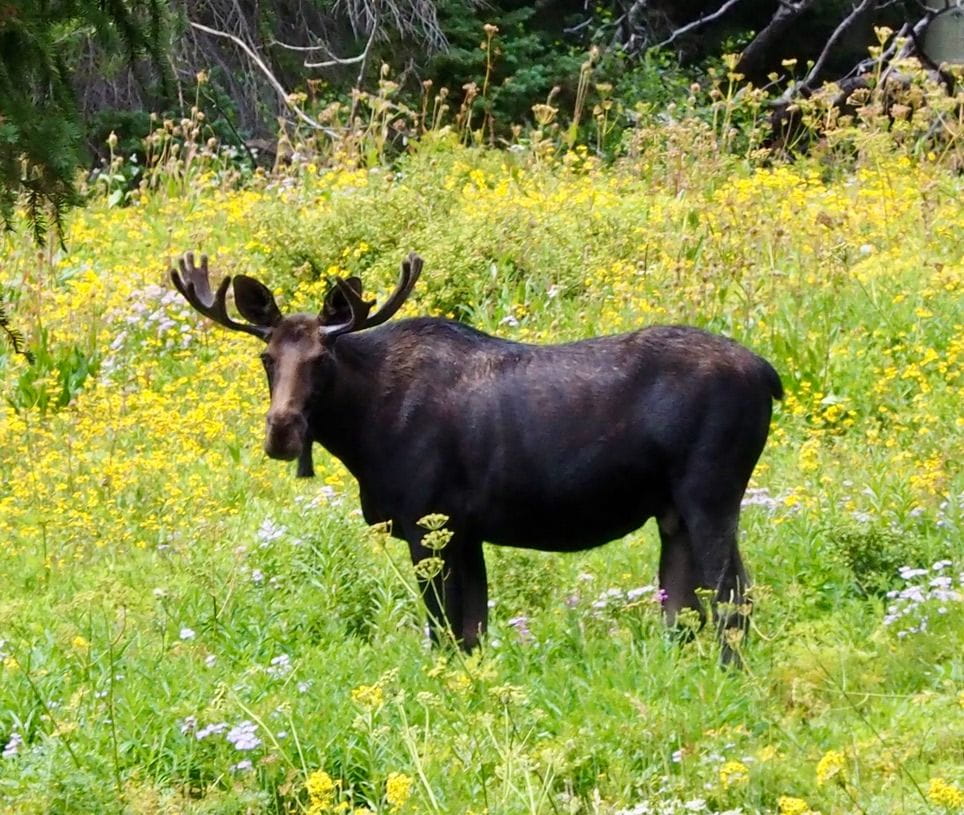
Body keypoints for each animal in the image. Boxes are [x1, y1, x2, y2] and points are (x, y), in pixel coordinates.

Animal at [172, 251, 782, 662]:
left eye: (323, 358)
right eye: (266, 357)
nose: (282, 432)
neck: (362, 434)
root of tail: (769, 376)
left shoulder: (428, 522)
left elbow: (443, 630)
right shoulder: (465, 531)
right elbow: (472, 631)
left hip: (710, 493)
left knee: (732, 595)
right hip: (672, 511)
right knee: (685, 604)